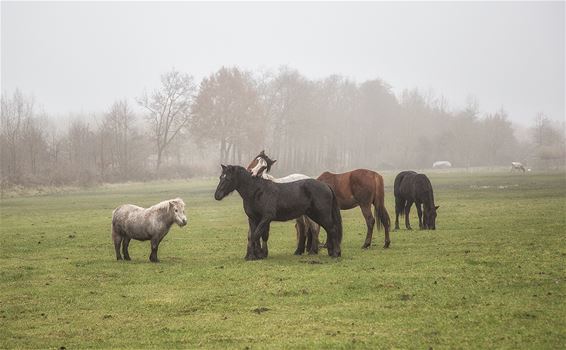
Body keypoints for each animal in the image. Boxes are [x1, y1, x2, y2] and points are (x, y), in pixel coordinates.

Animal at [215, 165, 344, 260]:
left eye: (227, 178)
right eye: (220, 177)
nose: (217, 195)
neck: (257, 192)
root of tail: (325, 185)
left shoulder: (266, 218)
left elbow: (256, 235)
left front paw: (255, 255)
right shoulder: (253, 219)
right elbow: (255, 235)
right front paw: (256, 255)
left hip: (321, 215)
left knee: (332, 229)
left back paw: (335, 253)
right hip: (315, 215)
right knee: (328, 230)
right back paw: (331, 252)